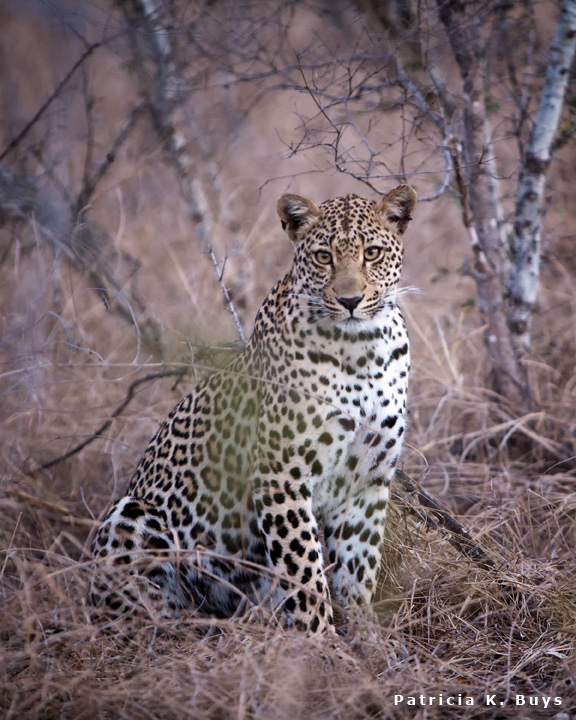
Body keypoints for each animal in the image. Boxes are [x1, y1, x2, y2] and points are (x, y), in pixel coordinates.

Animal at [91, 184, 417, 634]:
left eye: (372, 253)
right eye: (324, 257)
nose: (350, 300)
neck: (363, 351)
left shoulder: (368, 479)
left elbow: (358, 567)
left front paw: (367, 636)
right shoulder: (281, 474)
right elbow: (305, 570)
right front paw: (323, 642)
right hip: (132, 514)